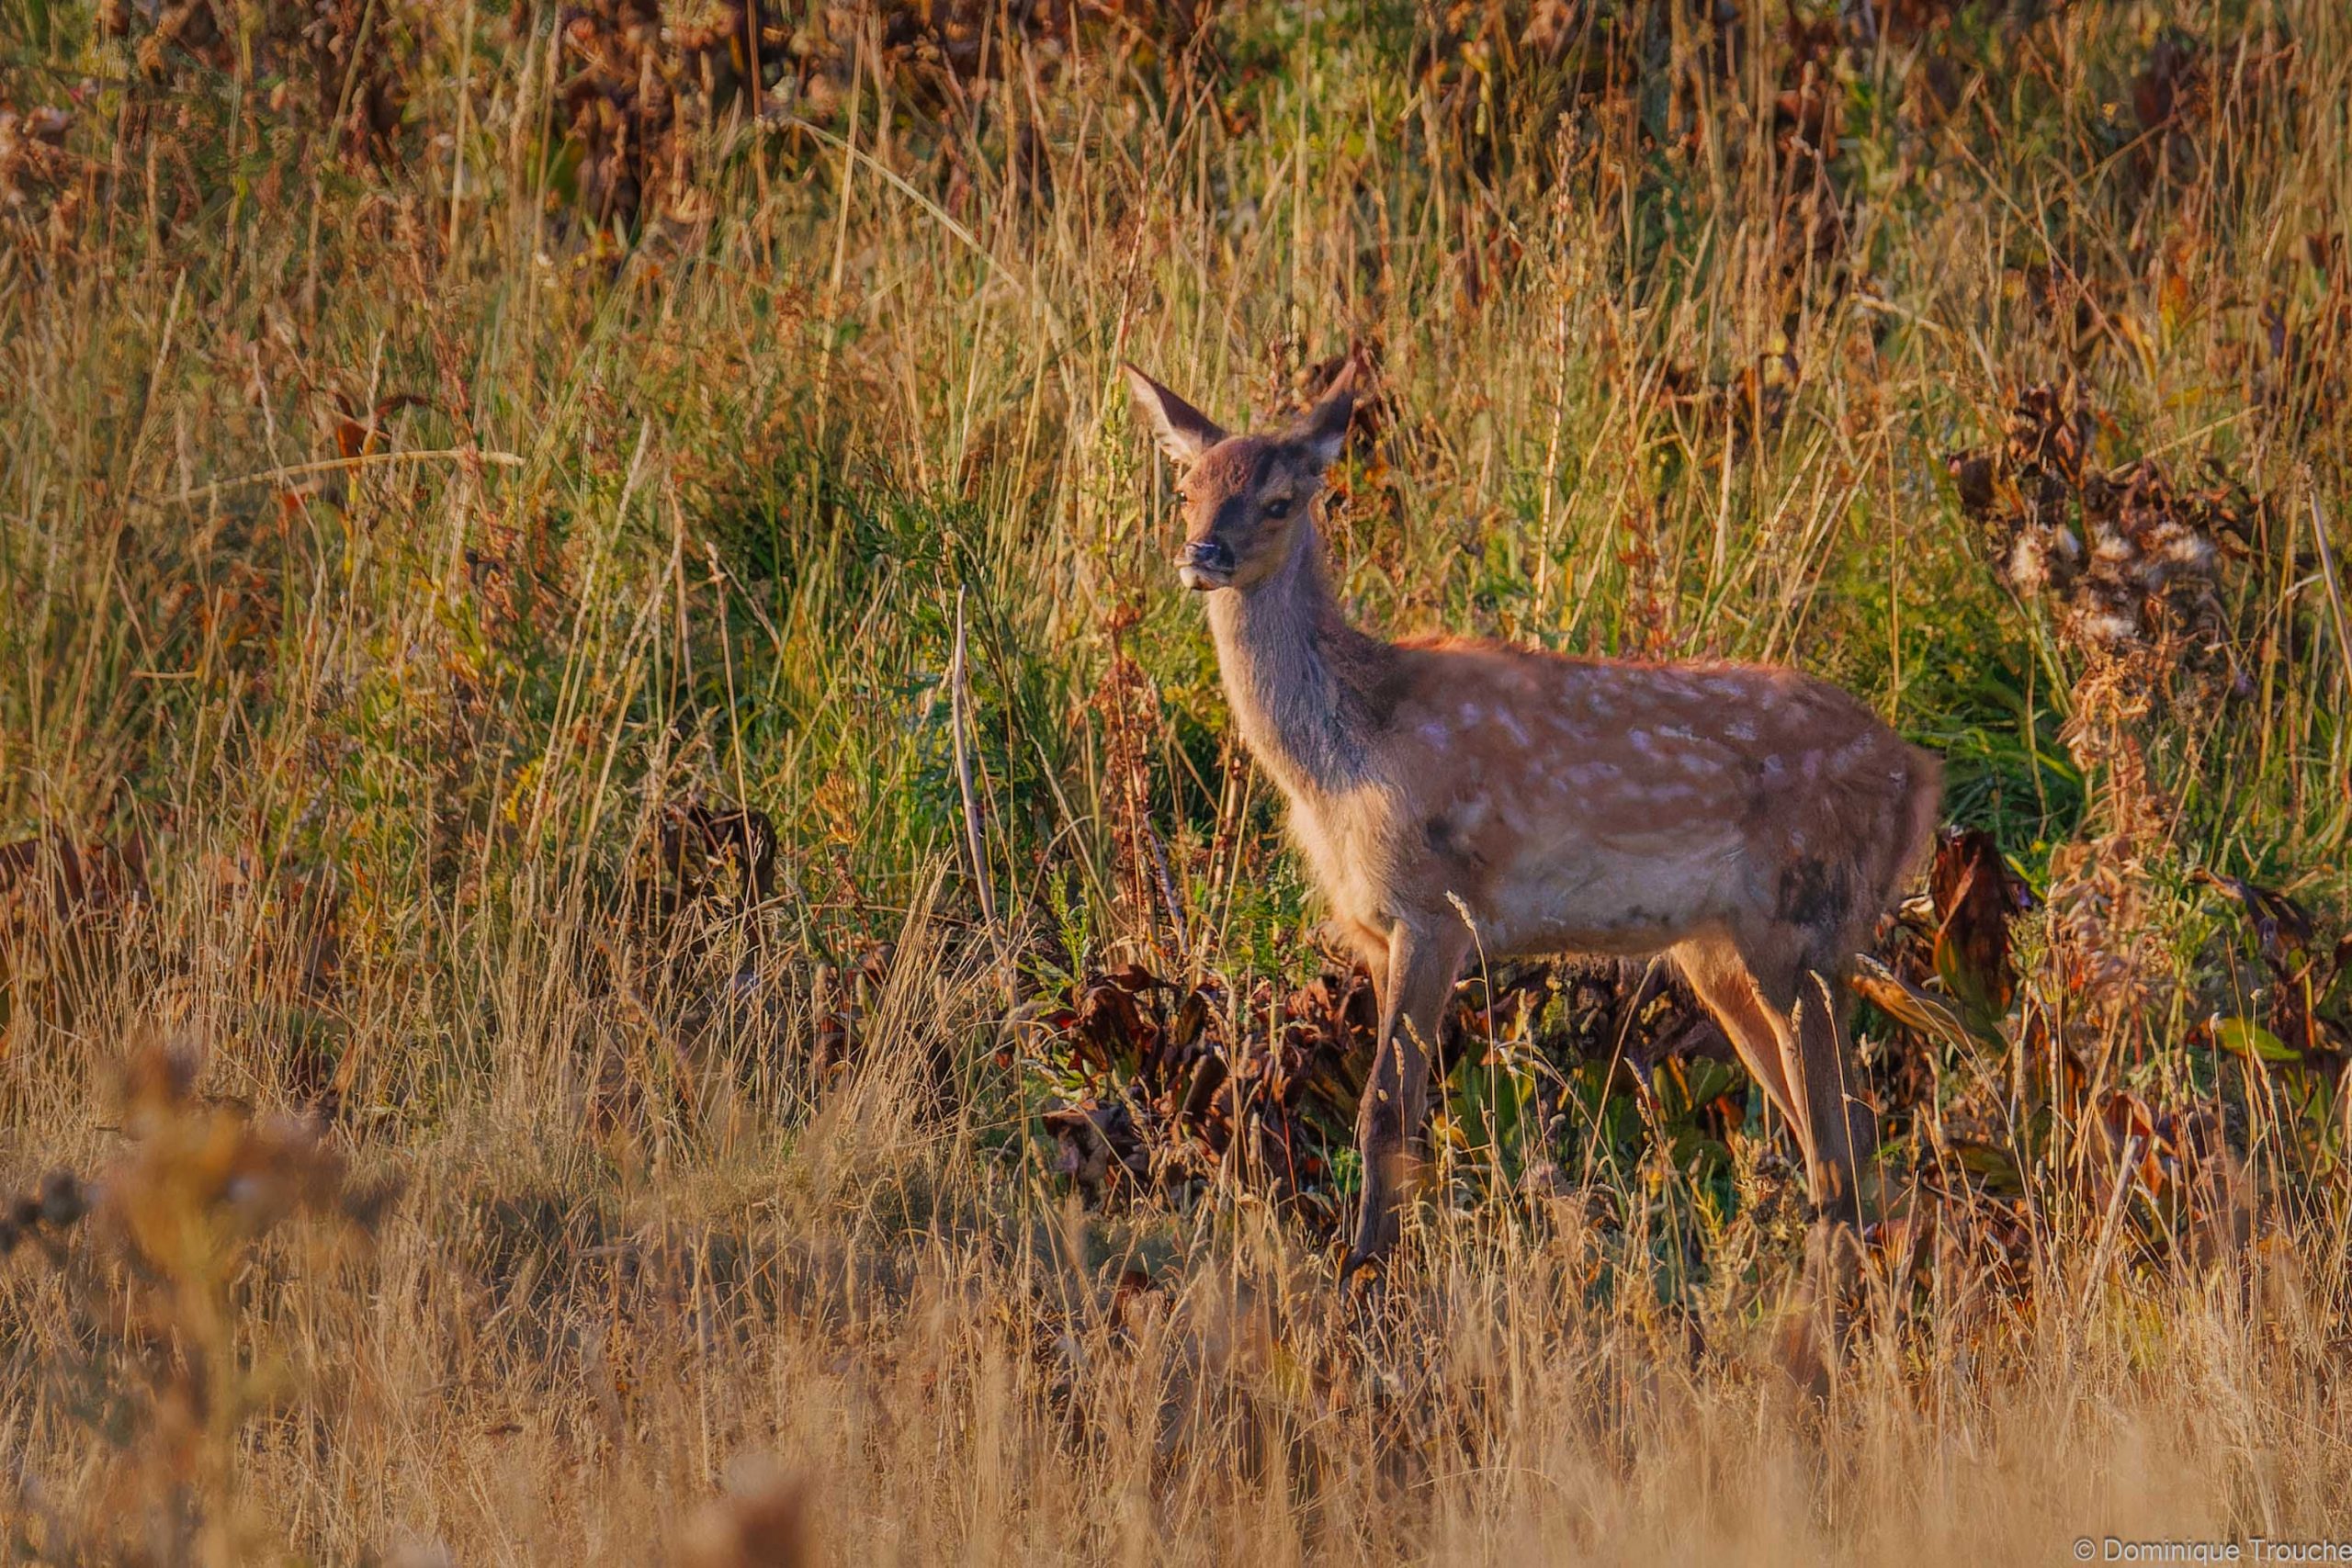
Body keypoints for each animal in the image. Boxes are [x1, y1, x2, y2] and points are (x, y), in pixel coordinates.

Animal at [1124, 355, 1942, 1284]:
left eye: (1279, 500)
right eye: (1186, 487)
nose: (1203, 554)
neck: (1345, 758)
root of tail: (1919, 776)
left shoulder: (1435, 909)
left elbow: (1382, 1110)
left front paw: (1366, 1275)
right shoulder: (1373, 928)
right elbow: (1404, 1112)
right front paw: (1377, 1261)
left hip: (1802, 919)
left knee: (1842, 1141)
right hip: (1723, 950)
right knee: (1844, 1133)